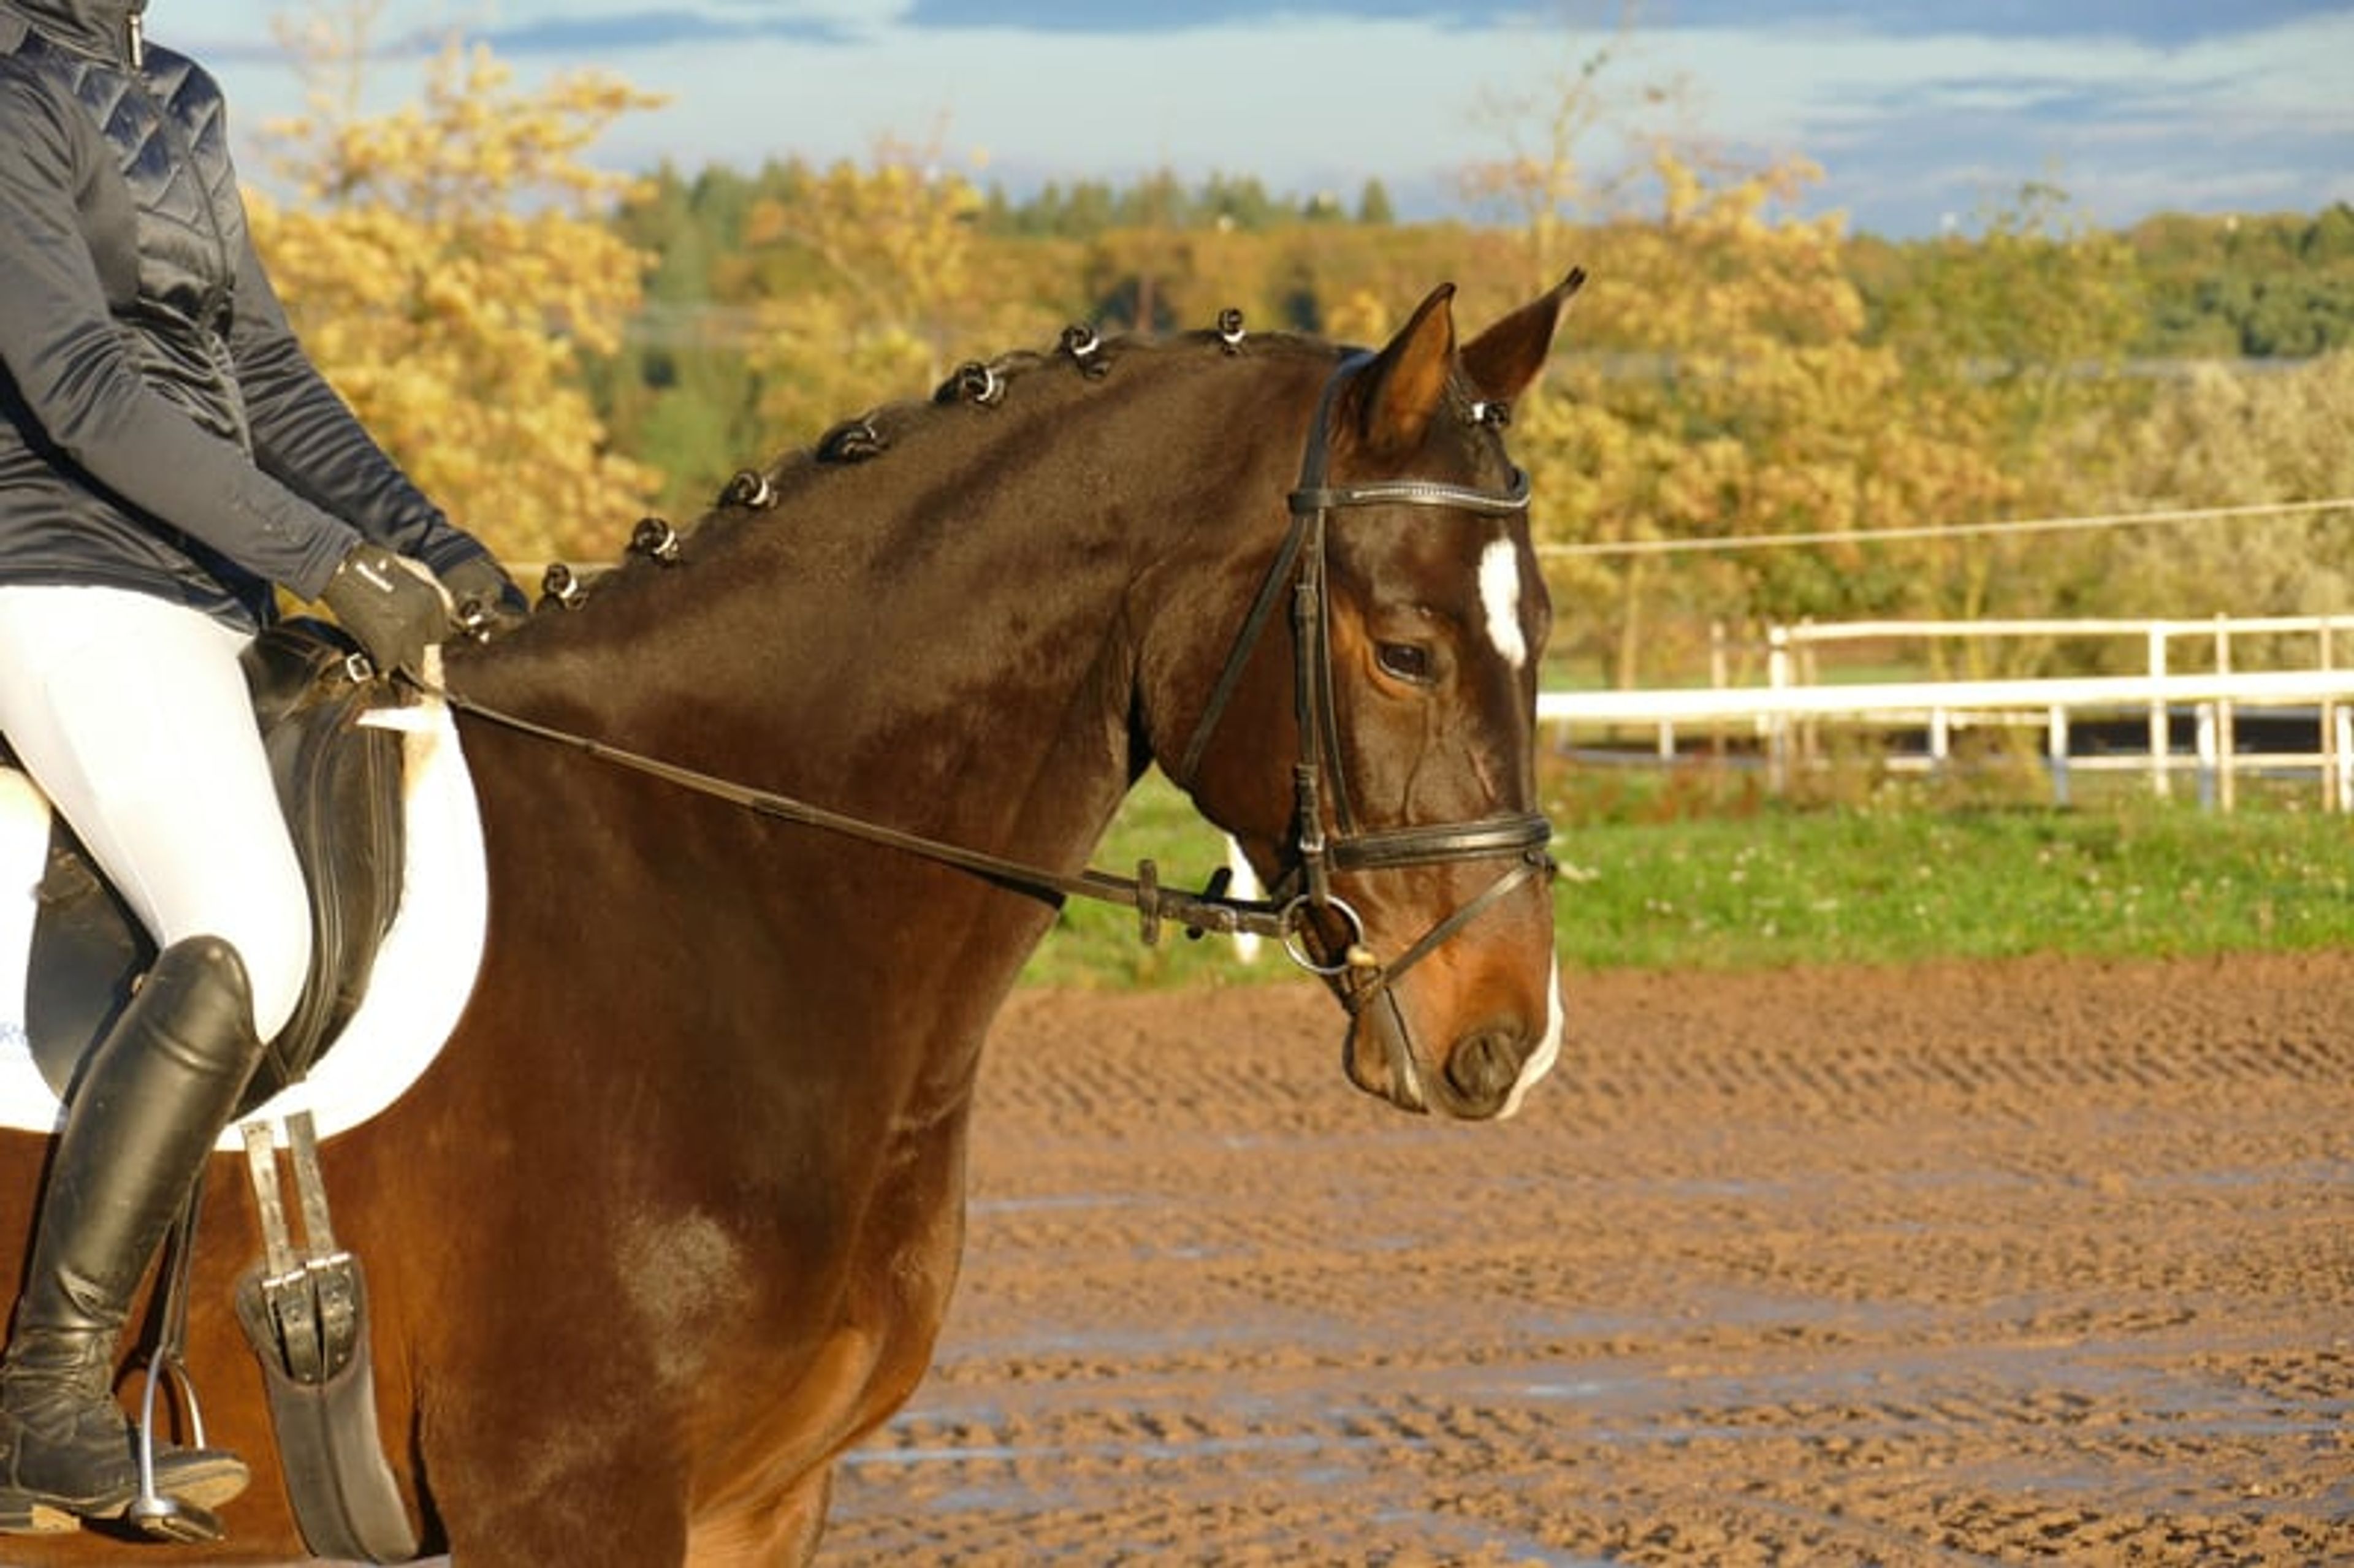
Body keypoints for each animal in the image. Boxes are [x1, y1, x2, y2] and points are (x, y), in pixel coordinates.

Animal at [0, 273, 1578, 1564]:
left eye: (1542, 631)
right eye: (1407, 651)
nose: (1510, 1040)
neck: (713, 881)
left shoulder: (760, 1499)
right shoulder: (568, 1494)